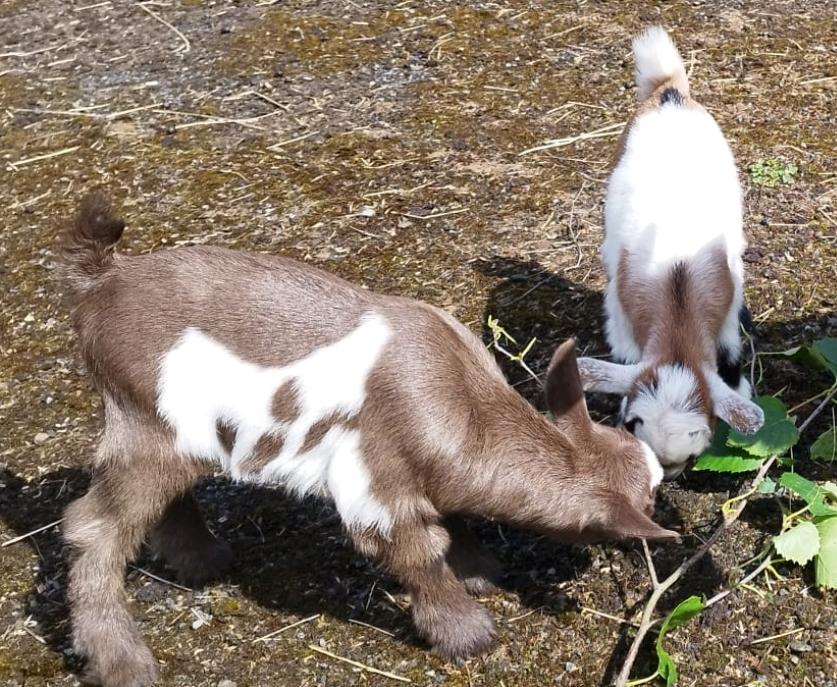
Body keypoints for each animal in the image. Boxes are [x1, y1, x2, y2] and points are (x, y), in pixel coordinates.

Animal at [58, 192, 676, 687]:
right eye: (647, 500)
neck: (465, 406)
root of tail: (102, 281)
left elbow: (452, 522)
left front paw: (479, 570)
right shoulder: (375, 481)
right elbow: (418, 551)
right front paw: (466, 632)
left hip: (175, 437)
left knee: (163, 499)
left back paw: (202, 561)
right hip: (146, 420)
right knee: (94, 527)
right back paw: (121, 661)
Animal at [576, 26, 764, 479]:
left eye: (696, 443)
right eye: (635, 424)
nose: (673, 472)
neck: (678, 290)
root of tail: (668, 91)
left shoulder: (728, 306)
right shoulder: (620, 313)